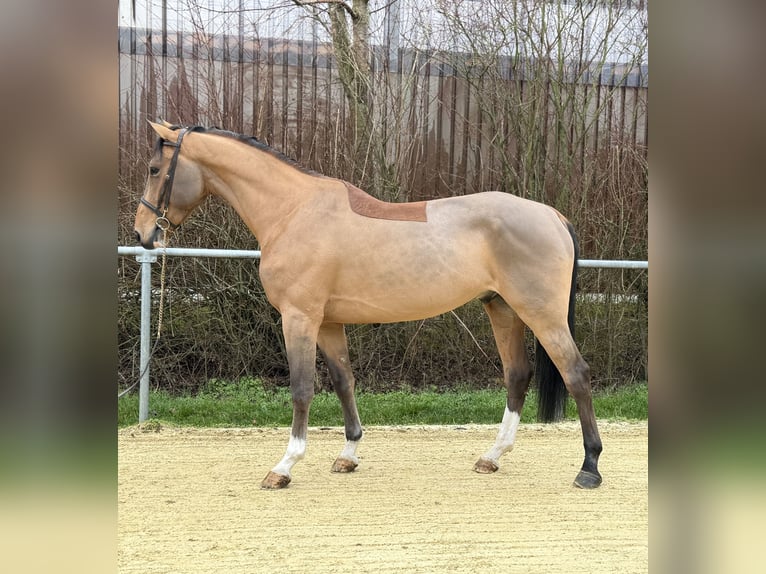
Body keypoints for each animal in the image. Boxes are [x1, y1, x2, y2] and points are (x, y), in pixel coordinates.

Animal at [133, 121, 603, 490]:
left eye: (155, 170)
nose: (143, 234)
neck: (293, 211)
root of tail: (553, 216)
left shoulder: (299, 318)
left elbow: (302, 388)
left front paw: (284, 466)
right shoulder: (328, 323)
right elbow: (344, 381)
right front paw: (348, 454)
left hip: (541, 313)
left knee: (576, 373)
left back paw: (589, 467)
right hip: (502, 309)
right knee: (517, 374)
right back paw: (492, 457)